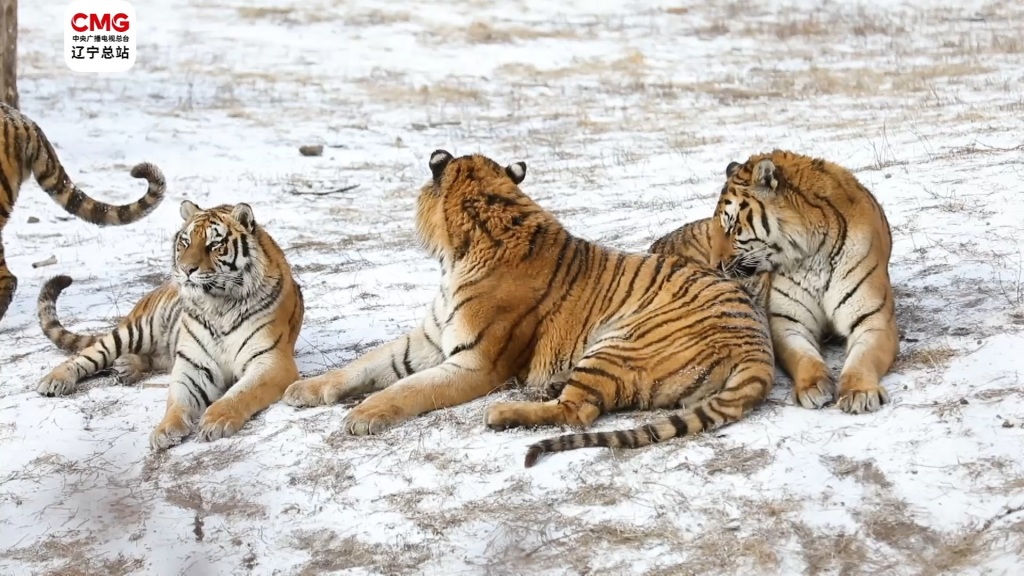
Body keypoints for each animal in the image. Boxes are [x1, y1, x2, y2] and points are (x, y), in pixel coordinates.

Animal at [37, 198, 307, 448]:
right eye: (185, 242)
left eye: (214, 244)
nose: (186, 269)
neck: (218, 306)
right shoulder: (193, 364)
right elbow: (177, 399)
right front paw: (165, 430)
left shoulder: (271, 361)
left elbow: (240, 393)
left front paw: (216, 420)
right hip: (135, 330)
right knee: (87, 354)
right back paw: (55, 380)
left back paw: (125, 367)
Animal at [284, 148, 770, 467]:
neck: (458, 254)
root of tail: (757, 345)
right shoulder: (428, 339)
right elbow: (365, 364)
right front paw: (305, 390)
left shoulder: (476, 363)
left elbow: (409, 388)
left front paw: (363, 415)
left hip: (617, 341)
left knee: (579, 412)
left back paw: (503, 413)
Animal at [651, 150, 901, 412]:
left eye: (731, 226)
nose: (714, 264)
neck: (812, 252)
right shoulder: (787, 322)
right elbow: (803, 357)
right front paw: (812, 386)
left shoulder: (873, 318)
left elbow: (862, 358)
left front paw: (859, 392)